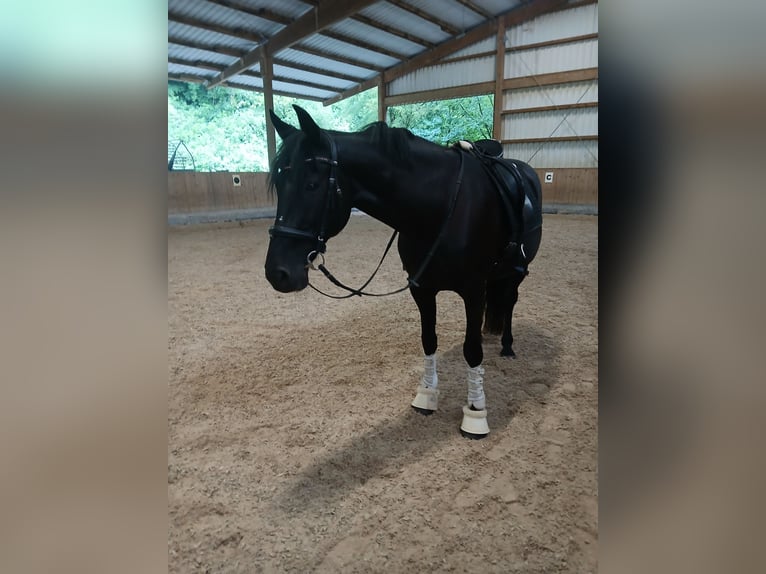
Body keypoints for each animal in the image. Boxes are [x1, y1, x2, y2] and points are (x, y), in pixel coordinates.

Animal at [264, 105, 542, 438]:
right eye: (280, 186)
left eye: (311, 185)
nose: (277, 273)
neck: (441, 207)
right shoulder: (422, 288)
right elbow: (428, 340)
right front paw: (426, 395)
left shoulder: (474, 290)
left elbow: (471, 350)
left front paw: (475, 414)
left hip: (516, 272)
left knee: (510, 302)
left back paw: (507, 346)